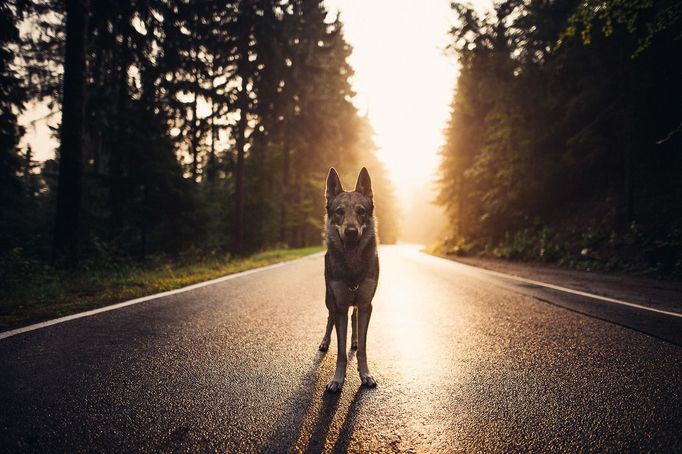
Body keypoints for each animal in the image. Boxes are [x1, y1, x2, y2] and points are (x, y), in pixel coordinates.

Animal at [318, 168, 378, 392]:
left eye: (361, 211)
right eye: (339, 212)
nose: (351, 232)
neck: (353, 268)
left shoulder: (366, 305)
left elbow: (362, 349)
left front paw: (365, 374)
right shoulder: (340, 306)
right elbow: (341, 352)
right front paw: (337, 380)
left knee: (355, 319)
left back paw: (354, 340)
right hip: (329, 299)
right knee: (329, 319)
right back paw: (325, 342)